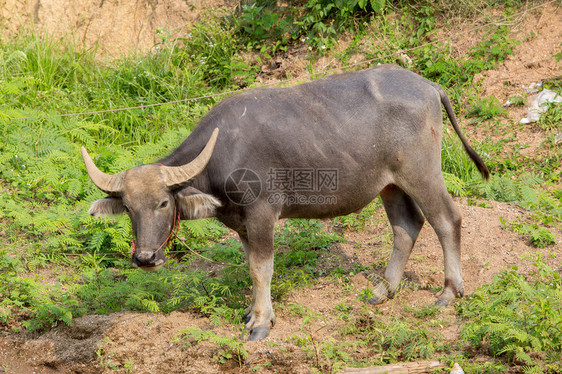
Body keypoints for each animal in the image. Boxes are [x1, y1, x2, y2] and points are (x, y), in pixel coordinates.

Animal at [82, 65, 486, 342]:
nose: (145, 258)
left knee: (446, 219)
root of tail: (429, 86)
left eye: (164, 203)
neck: (222, 153)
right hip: (389, 184)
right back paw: (383, 291)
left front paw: (262, 323)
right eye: (129, 208)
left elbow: (262, 267)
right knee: (406, 226)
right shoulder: (242, 223)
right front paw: (251, 312)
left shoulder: (262, 213)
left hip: (421, 172)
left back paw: (449, 292)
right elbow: (250, 265)